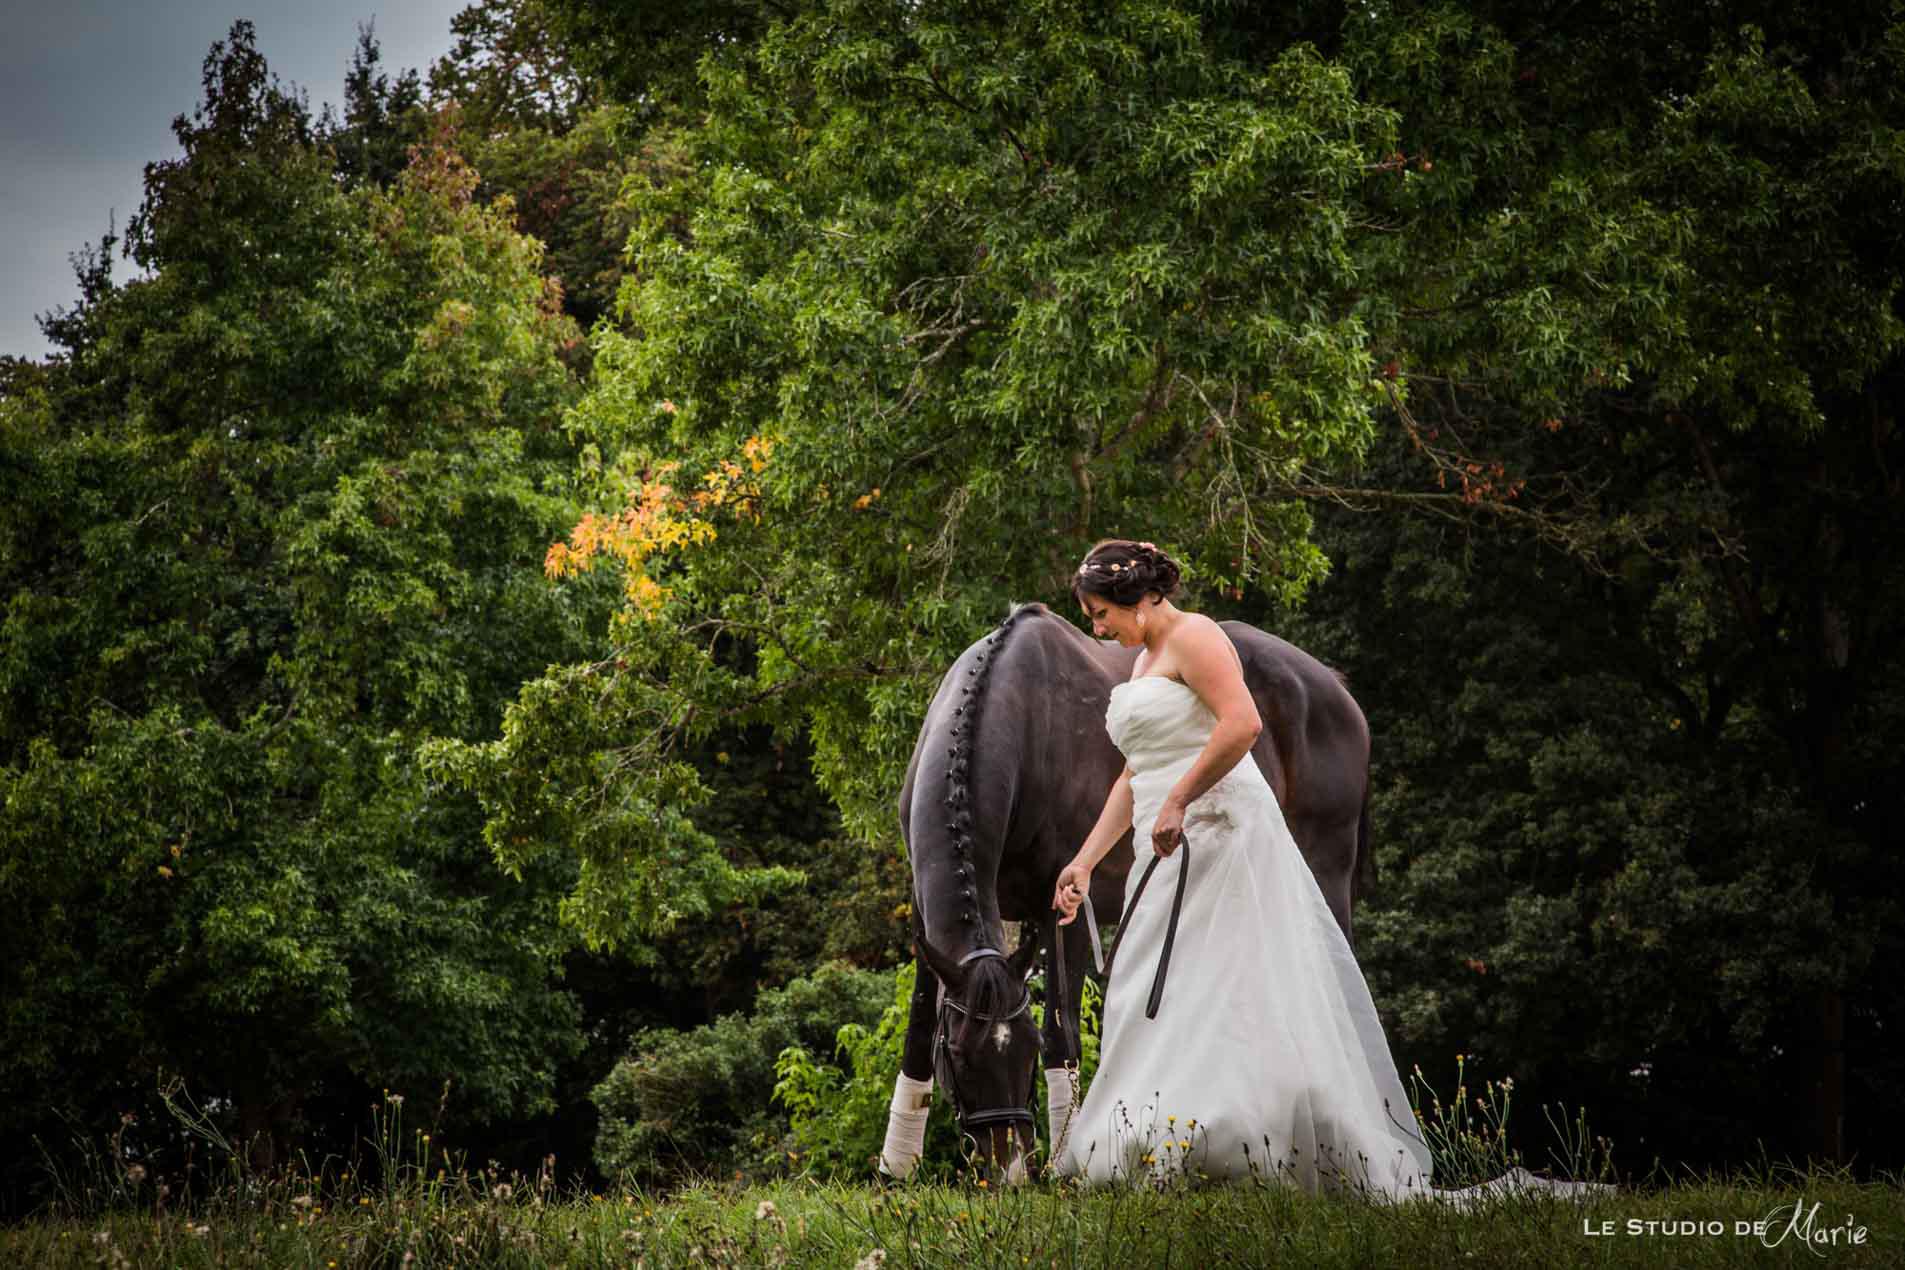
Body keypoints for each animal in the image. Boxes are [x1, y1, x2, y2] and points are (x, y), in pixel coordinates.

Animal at [876, 605, 1371, 1180]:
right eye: (957, 1053)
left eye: (1024, 1051)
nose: (1010, 1169)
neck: (1018, 714)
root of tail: (1335, 689)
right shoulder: (930, 916)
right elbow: (919, 1026)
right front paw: (895, 1169)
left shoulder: (1061, 906)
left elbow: (1062, 1034)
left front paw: (1065, 1163)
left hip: (1324, 877)